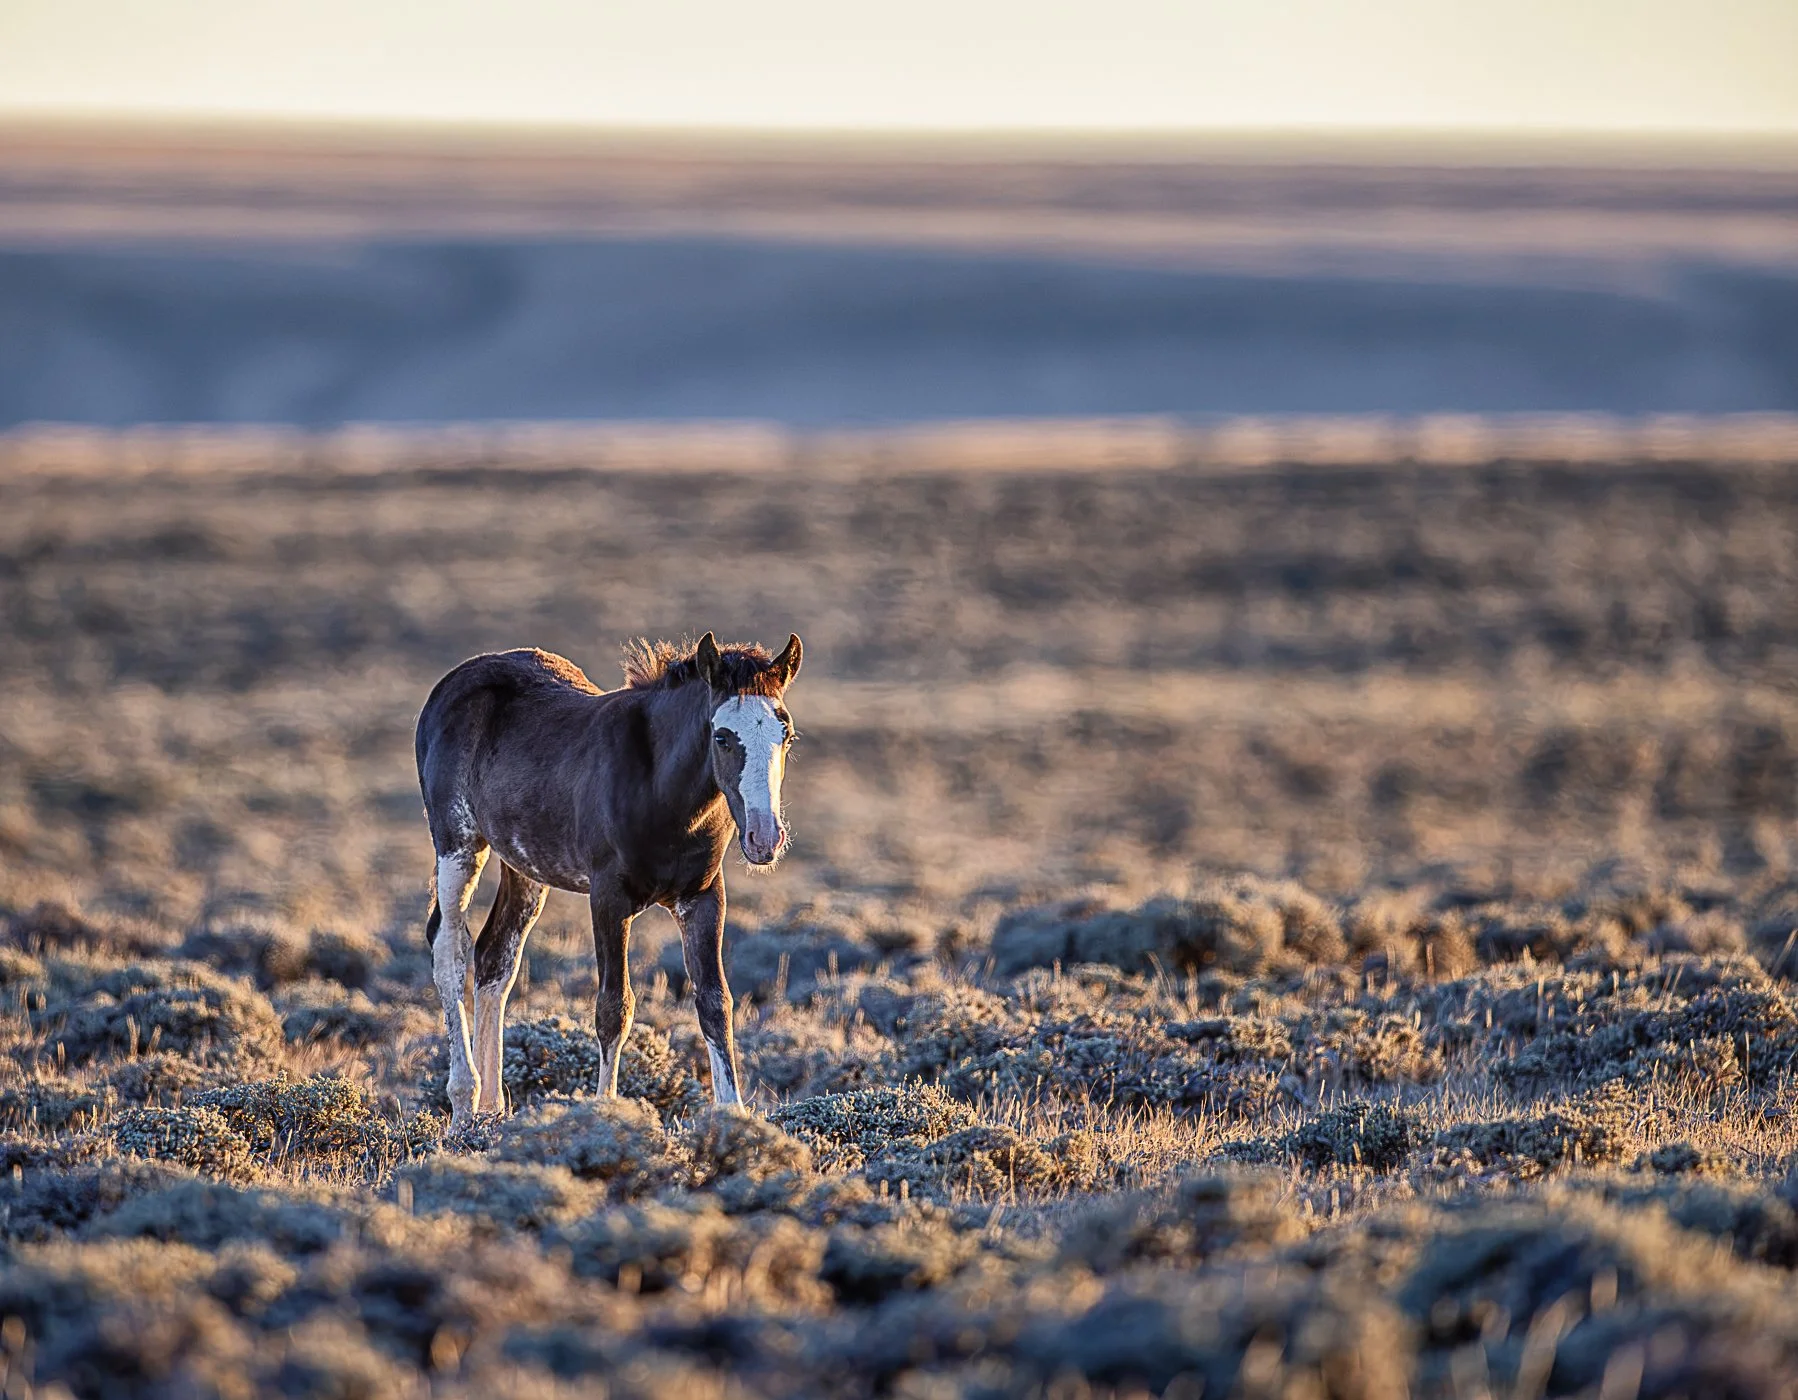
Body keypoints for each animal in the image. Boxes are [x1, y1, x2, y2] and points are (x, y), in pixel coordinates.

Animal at [415, 631, 802, 1129]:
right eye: (722, 737)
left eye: (785, 734)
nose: (764, 838)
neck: (659, 790)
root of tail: (453, 683)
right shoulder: (608, 899)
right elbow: (614, 1008)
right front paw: (605, 1111)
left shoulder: (703, 897)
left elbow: (716, 1002)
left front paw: (733, 1117)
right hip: (458, 845)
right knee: (449, 947)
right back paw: (464, 1101)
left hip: (523, 868)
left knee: (495, 958)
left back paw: (492, 1111)